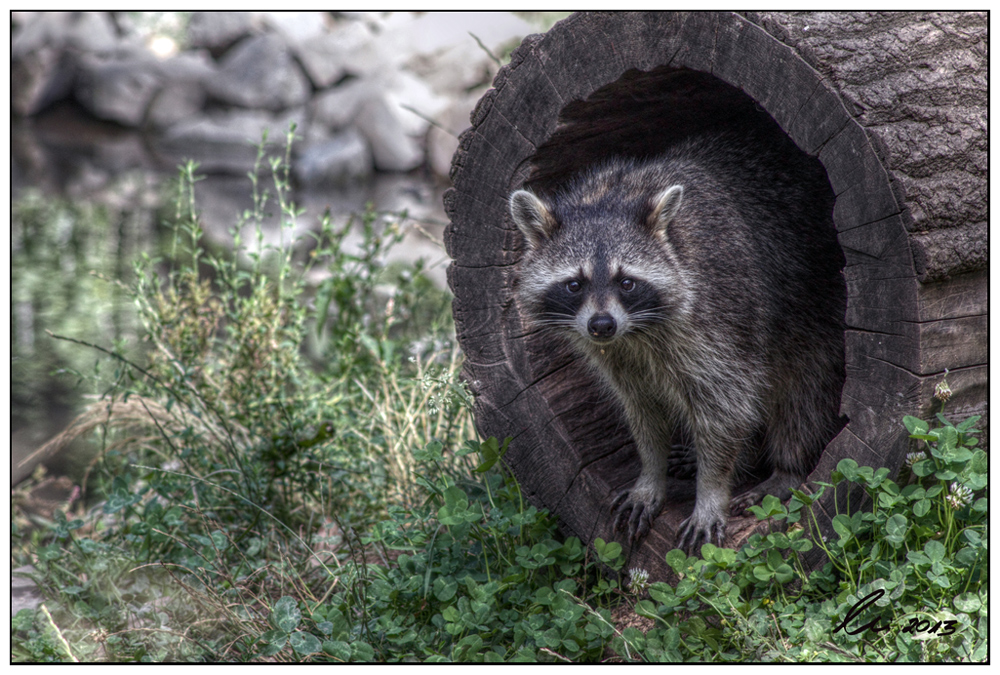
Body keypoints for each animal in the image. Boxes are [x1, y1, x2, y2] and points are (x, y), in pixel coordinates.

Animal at [512, 133, 848, 556]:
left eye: (627, 282)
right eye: (574, 284)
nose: (601, 325)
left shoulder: (719, 320)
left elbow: (726, 410)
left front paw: (712, 491)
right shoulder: (619, 358)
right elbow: (643, 411)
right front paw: (650, 474)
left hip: (816, 312)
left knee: (804, 393)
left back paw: (787, 466)